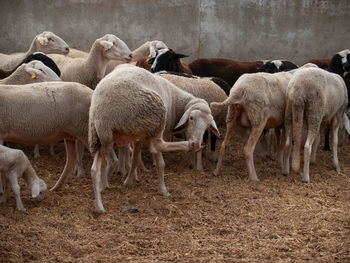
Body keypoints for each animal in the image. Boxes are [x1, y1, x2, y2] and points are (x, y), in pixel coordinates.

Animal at [89, 63, 217, 212]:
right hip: (155, 116)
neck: (175, 102)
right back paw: (186, 145)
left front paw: (128, 181)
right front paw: (162, 189)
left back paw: (99, 206)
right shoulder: (153, 131)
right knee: (158, 146)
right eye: (191, 118)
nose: (196, 144)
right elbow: (159, 162)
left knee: (94, 170)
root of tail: (102, 113)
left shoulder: (138, 134)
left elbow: (134, 159)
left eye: (207, 125)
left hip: (98, 137)